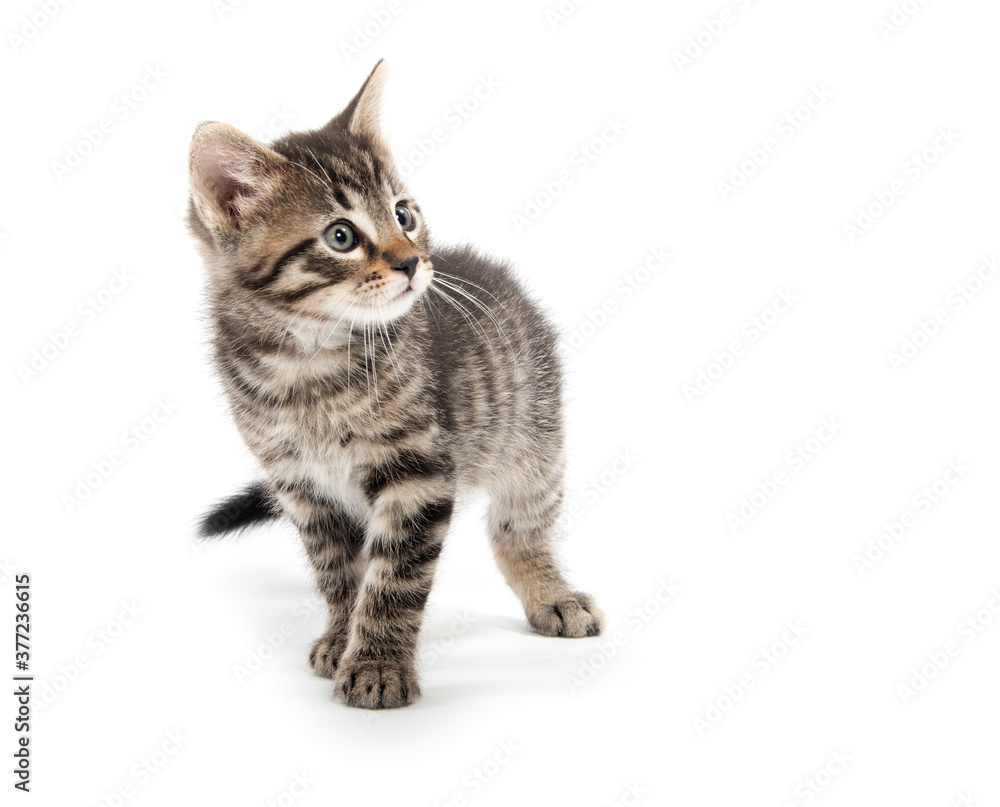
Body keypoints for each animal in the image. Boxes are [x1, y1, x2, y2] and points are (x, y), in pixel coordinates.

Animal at [187, 61, 600, 708]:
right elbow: (338, 573)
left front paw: (377, 664)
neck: (308, 363)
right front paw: (342, 637)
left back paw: (550, 594)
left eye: (404, 214)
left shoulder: (417, 474)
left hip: (534, 438)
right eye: (340, 236)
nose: (411, 262)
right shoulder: (301, 485)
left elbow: (394, 579)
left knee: (519, 527)